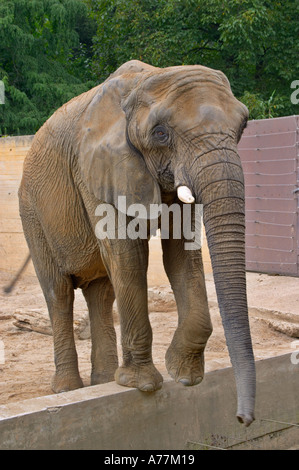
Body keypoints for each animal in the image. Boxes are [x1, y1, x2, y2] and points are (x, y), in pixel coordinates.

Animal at [18, 59, 256, 426]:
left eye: (242, 126)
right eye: (160, 133)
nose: (243, 419)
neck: (147, 78)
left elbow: (182, 256)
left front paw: (184, 377)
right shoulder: (94, 169)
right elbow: (128, 255)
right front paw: (143, 385)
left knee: (101, 293)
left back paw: (103, 381)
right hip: (32, 211)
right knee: (58, 293)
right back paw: (68, 390)